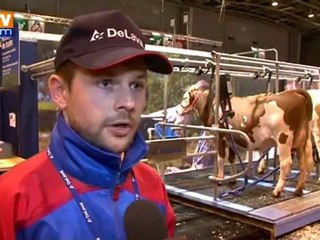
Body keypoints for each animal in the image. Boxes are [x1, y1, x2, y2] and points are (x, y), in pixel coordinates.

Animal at [175, 82, 312, 197]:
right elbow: (231, 159)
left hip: (283, 139)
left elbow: (220, 159)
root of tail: (293, 92)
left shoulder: (221, 137)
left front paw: (219, 179)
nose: (177, 110)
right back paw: (298, 189)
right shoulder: (231, 140)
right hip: (300, 141)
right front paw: (232, 179)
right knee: (303, 163)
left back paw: (277, 191)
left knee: (286, 163)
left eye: (185, 97)